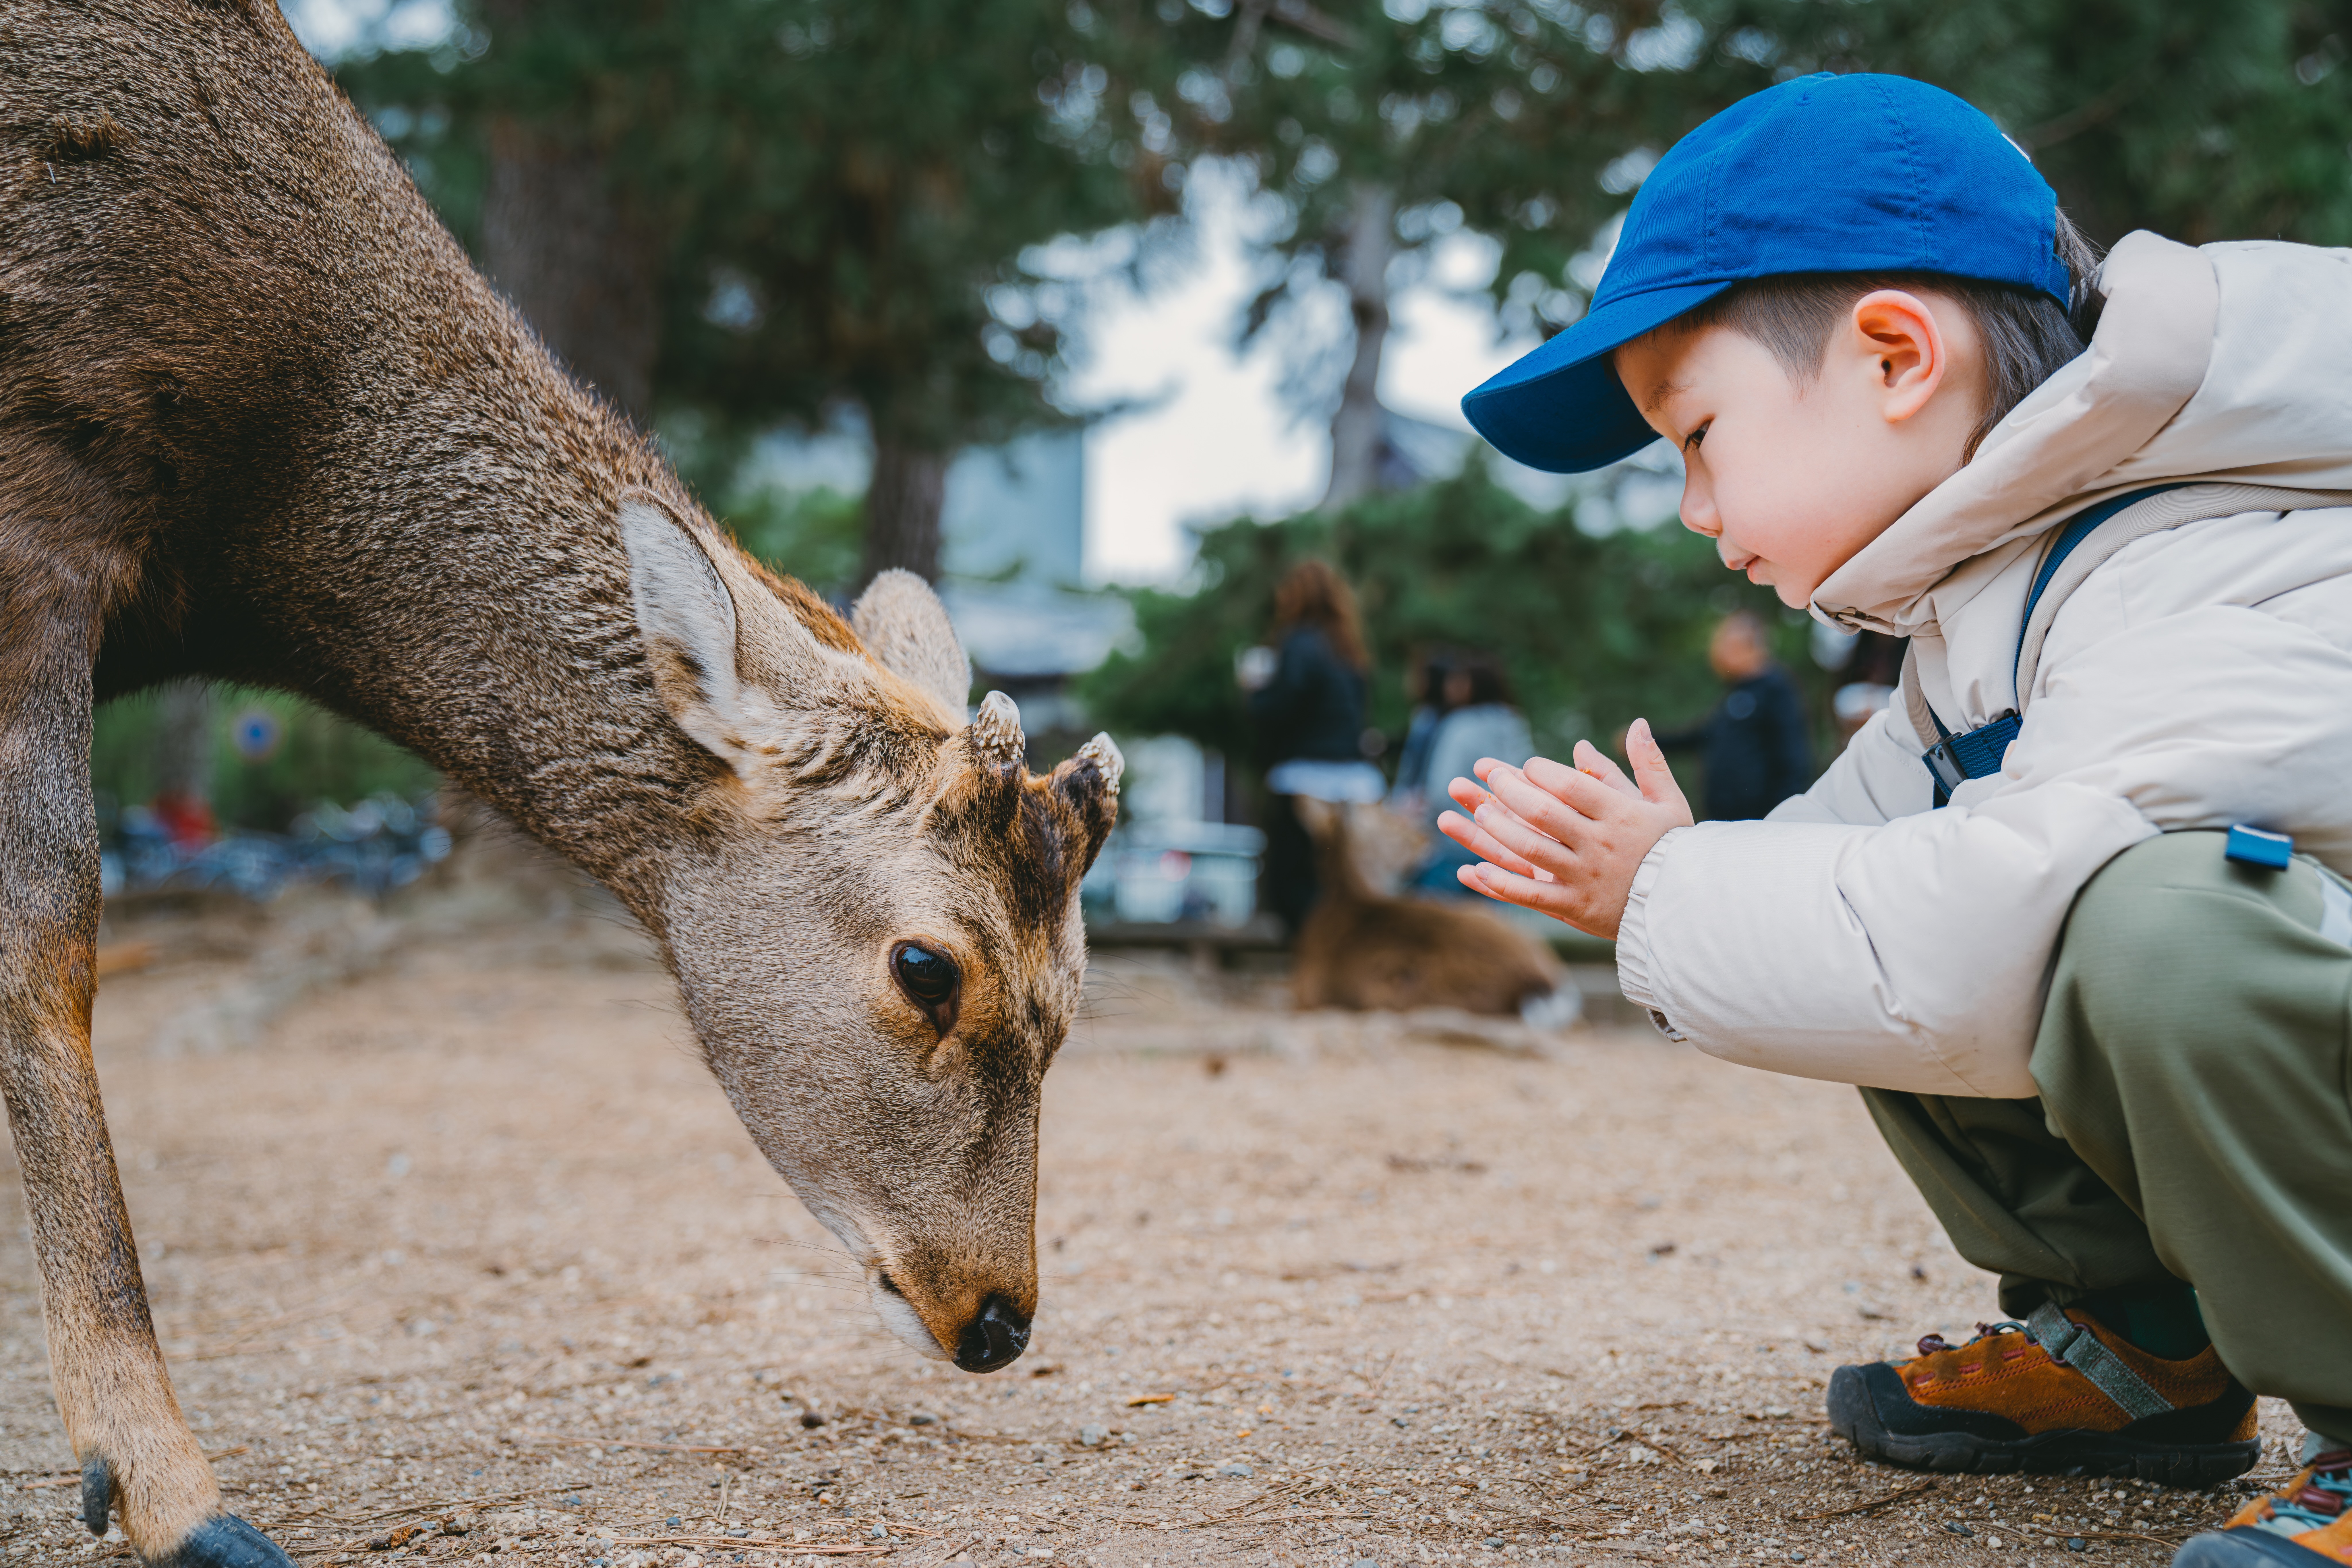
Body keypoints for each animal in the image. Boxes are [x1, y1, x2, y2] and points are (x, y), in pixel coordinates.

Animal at [0, 5, 1120, 1565]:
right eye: (925, 966)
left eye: (1078, 993)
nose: (1000, 1317)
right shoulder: (42, 498)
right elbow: (46, 937)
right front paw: (172, 1492)